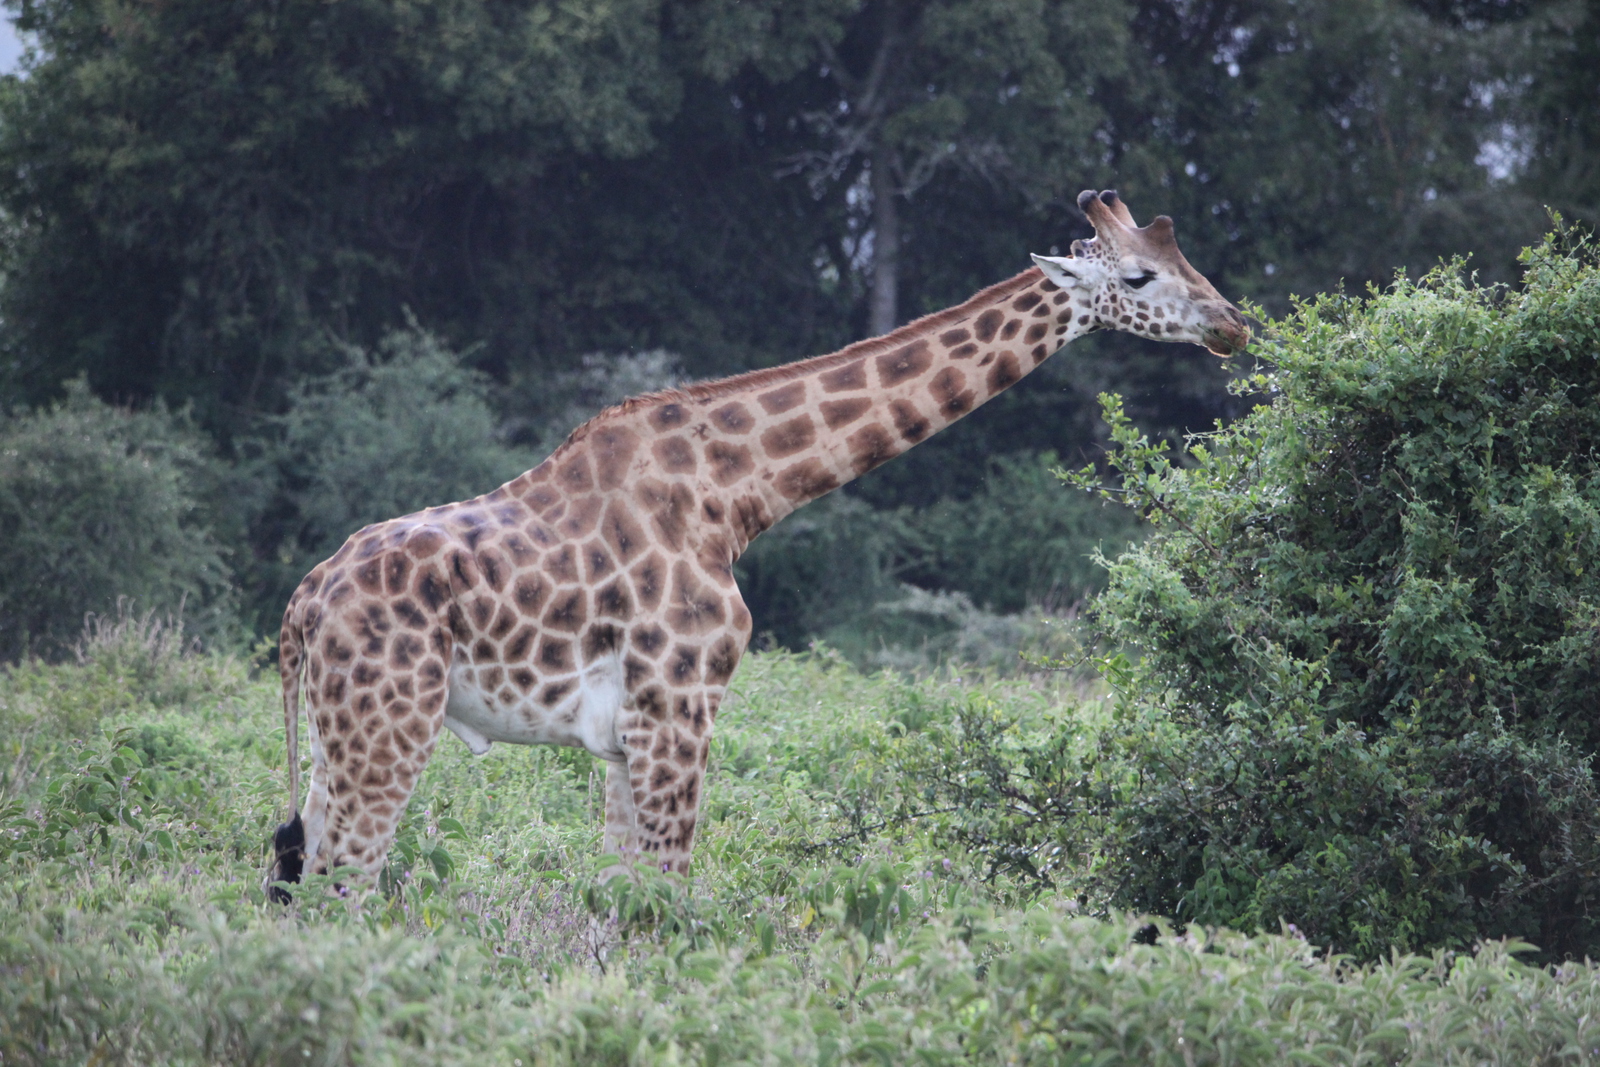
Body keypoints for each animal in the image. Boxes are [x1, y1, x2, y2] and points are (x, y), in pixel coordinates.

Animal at [268, 189, 1254, 895]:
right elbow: (662, 903)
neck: (739, 491)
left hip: (333, 734)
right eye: (1139, 276)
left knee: (293, 873)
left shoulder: (625, 736)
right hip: (390, 724)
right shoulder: (679, 704)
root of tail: (301, 606)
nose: (1231, 324)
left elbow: (613, 902)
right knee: (340, 886)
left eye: (1187, 259)